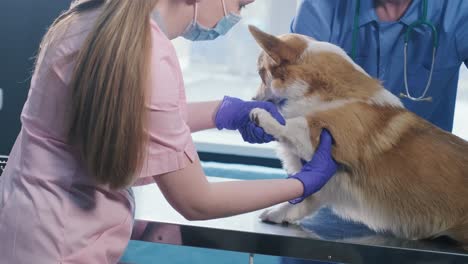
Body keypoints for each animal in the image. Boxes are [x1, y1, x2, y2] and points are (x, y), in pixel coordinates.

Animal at [250, 25, 468, 248]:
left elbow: (295, 124)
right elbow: (303, 196)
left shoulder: (328, 138)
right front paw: (278, 213)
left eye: (261, 73)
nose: (252, 98)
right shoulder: (323, 181)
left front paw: (264, 116)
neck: (318, 88)